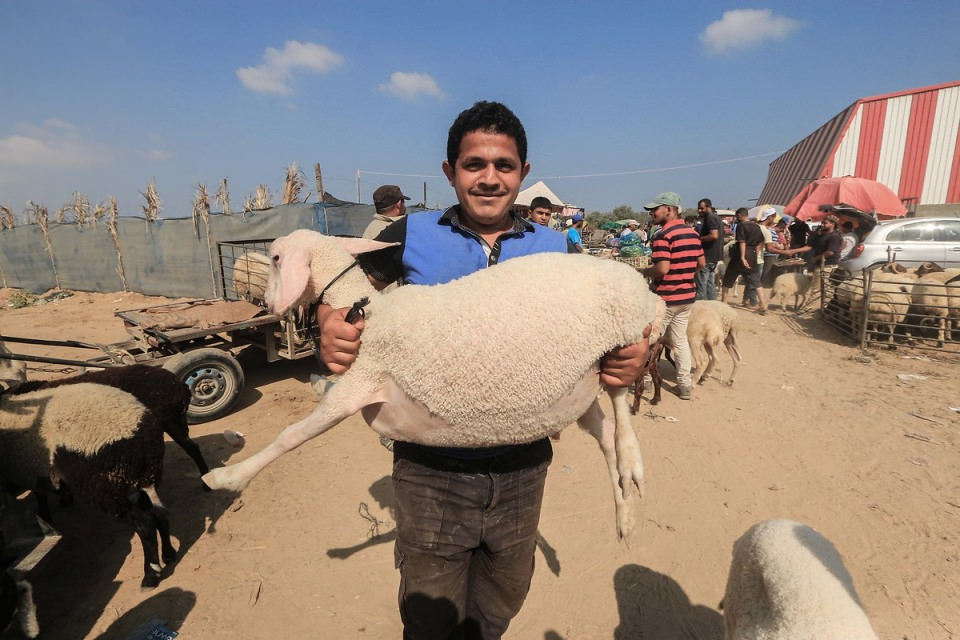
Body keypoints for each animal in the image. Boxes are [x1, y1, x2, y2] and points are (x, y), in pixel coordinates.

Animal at [0, 380, 178, 592]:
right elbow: (40, 493)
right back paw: (169, 554)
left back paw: (150, 575)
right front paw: (50, 511)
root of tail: (140, 435)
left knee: (145, 525)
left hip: (108, 487)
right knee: (160, 513)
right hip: (141, 479)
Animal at [203, 230, 664, 540]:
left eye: (275, 257)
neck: (367, 313)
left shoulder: (362, 380)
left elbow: (291, 435)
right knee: (604, 431)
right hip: (581, 382)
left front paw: (226, 478)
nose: (267, 304)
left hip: (624, 336)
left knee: (621, 402)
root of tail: (644, 289)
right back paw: (624, 514)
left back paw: (633, 464)